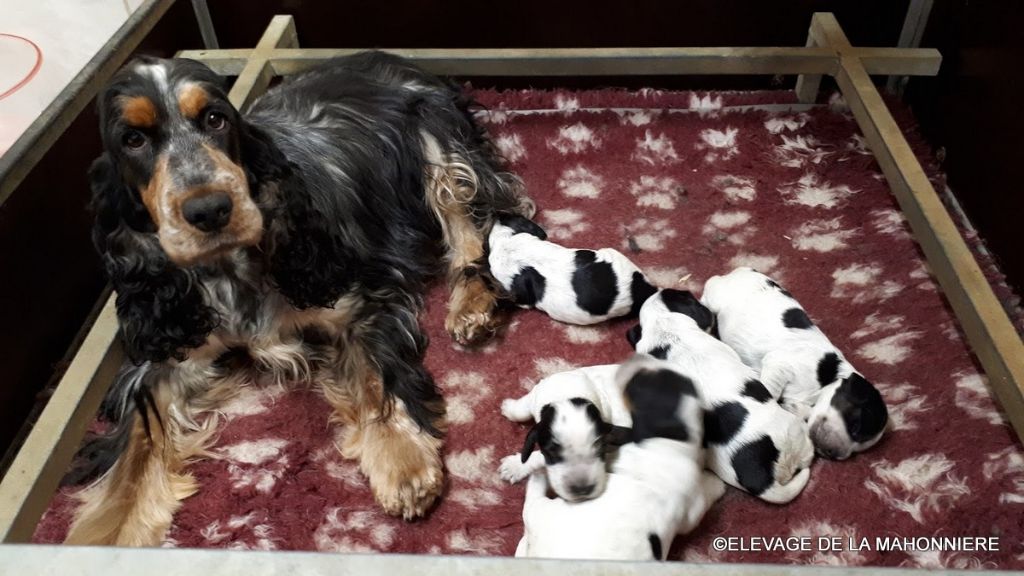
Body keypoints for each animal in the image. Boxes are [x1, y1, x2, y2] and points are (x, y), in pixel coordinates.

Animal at [497, 364, 630, 500]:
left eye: (601, 448)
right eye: (552, 452)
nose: (582, 490)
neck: (565, 395)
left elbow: (539, 456)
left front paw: (515, 466)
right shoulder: (538, 392)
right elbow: (523, 409)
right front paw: (509, 407)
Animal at [516, 352, 724, 557]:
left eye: (637, 384)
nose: (638, 357)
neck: (669, 440)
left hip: (543, 509)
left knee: (532, 499)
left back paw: (537, 476)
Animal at [704, 266, 888, 459]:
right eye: (855, 427)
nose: (834, 455)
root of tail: (746, 270)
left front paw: (795, 408)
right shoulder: (780, 362)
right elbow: (770, 391)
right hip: (719, 294)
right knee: (711, 284)